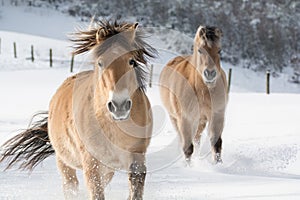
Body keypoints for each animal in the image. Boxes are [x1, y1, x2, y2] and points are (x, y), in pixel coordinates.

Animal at [0, 20, 157, 200]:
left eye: (131, 61)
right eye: (100, 63)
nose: (119, 106)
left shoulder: (137, 159)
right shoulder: (91, 164)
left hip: (108, 169)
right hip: (64, 162)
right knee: (71, 186)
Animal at [159, 25, 227, 163]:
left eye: (219, 50)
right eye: (200, 50)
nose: (210, 74)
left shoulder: (217, 115)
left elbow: (216, 143)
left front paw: (219, 164)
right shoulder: (185, 119)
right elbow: (187, 148)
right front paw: (188, 166)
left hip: (200, 120)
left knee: (197, 139)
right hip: (175, 118)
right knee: (183, 139)